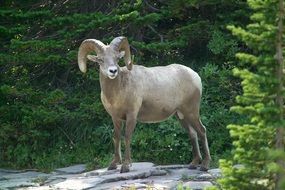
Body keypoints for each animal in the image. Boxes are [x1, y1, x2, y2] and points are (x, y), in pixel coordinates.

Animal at [77, 36, 211, 173]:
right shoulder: (116, 118)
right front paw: (113, 165)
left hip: (191, 112)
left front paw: (126, 166)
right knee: (192, 133)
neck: (118, 91)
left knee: (202, 131)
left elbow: (127, 136)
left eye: (117, 58)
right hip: (181, 115)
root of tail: (195, 76)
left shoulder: (131, 115)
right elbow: (116, 137)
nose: (113, 71)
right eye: (100, 59)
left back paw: (205, 165)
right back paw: (193, 164)